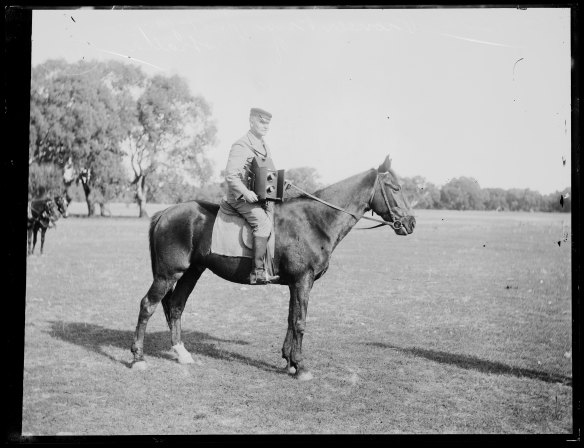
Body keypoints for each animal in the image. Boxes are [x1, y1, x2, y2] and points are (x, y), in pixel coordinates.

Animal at [132, 156, 416, 380]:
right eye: (395, 187)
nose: (411, 223)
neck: (314, 221)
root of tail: (164, 213)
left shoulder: (295, 283)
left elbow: (291, 319)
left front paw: (289, 362)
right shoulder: (303, 280)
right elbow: (300, 322)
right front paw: (300, 367)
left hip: (192, 272)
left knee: (176, 306)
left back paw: (182, 353)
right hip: (168, 274)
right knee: (148, 305)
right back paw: (138, 358)